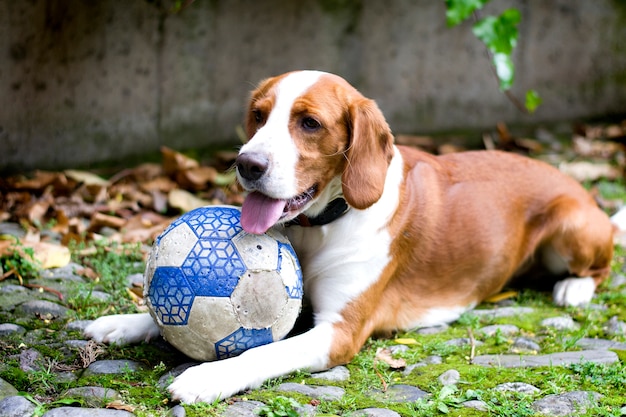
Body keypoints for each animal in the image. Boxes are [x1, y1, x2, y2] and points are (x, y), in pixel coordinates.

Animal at [86, 70, 616, 404]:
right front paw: (125, 322)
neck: (320, 227)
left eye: (310, 123)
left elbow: (264, 350)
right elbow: (169, 315)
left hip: (573, 229)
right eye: (258, 115)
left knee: (601, 265)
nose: (246, 164)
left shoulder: (337, 332)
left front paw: (209, 376)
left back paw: (574, 287)